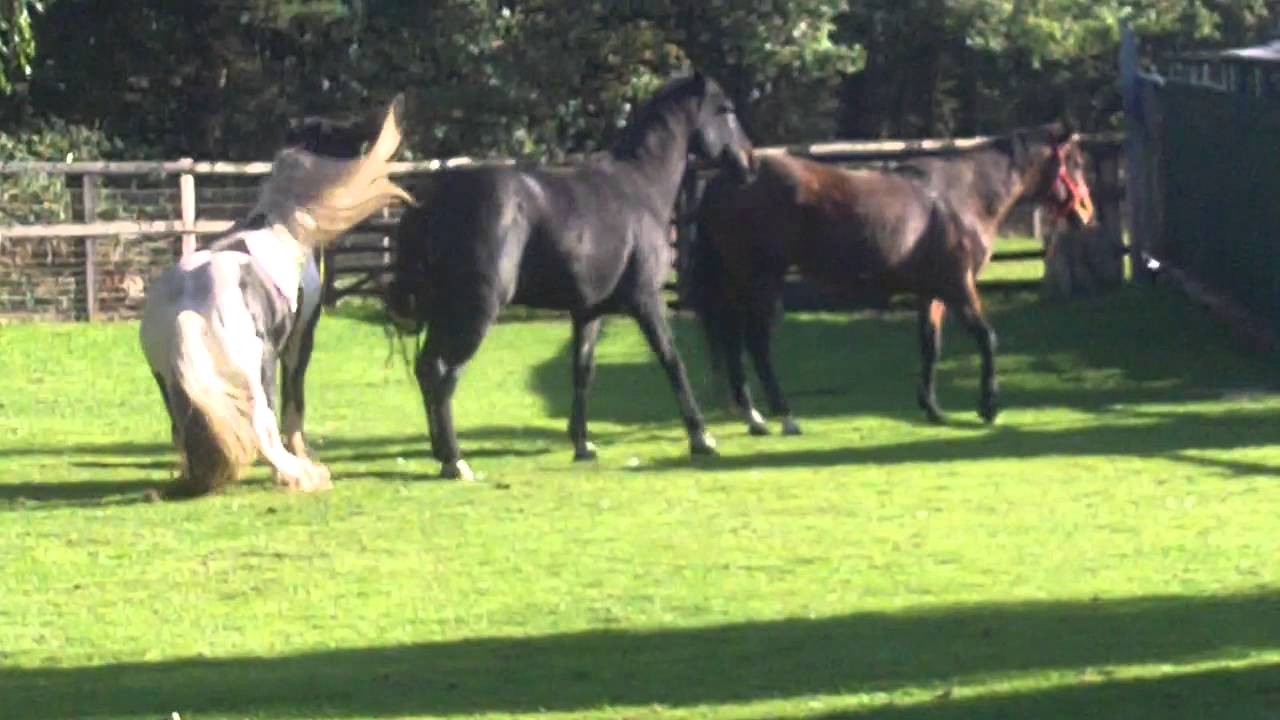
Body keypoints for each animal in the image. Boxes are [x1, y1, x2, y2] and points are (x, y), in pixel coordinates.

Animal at [139, 96, 413, 497]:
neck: (283, 225)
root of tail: (186, 310)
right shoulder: (300, 340)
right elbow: (294, 404)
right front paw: (306, 459)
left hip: (171, 386)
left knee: (185, 433)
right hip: (258, 370)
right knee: (262, 428)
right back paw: (301, 476)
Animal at [385, 73, 754, 480]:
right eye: (726, 110)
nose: (749, 162)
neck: (640, 188)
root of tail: (433, 200)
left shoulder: (588, 311)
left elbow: (583, 371)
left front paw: (582, 443)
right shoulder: (646, 300)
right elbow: (672, 360)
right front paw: (701, 437)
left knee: (426, 370)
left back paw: (441, 453)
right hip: (473, 314)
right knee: (443, 374)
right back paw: (455, 460)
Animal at [691, 122, 1096, 435]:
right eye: (1074, 163)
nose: (1086, 214)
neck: (961, 197)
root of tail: (732, 174)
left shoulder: (931, 292)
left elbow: (930, 346)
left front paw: (932, 408)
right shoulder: (958, 286)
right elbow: (986, 337)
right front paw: (988, 406)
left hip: (739, 283)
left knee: (734, 343)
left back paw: (754, 416)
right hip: (760, 280)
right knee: (756, 344)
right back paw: (784, 416)